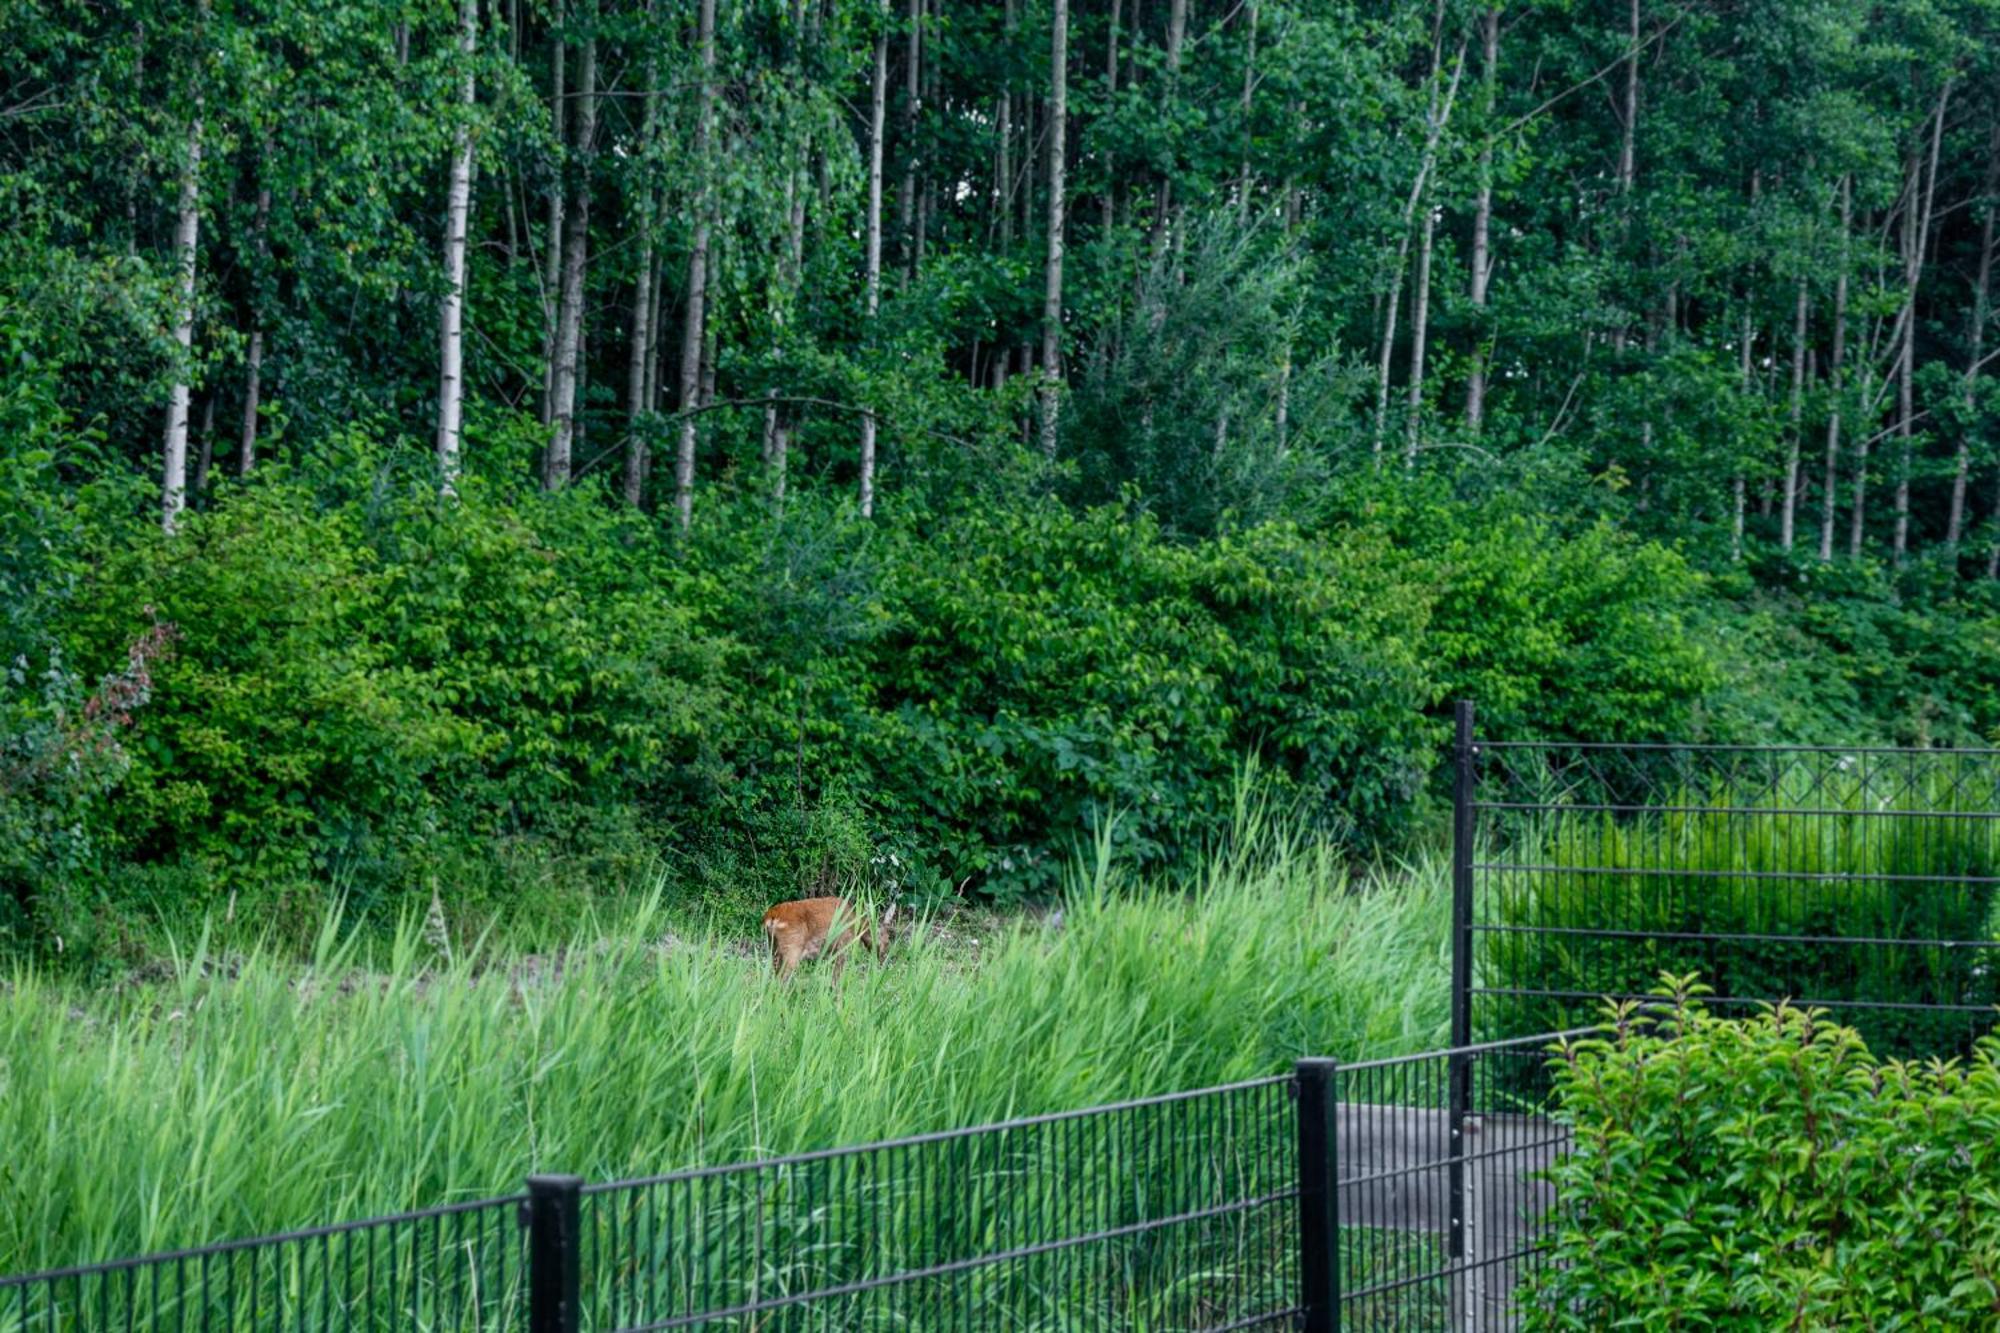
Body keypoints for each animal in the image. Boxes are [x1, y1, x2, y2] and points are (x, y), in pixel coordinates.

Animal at [756, 892, 900, 976]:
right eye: (887, 940)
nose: (884, 959)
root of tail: (769, 917)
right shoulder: (842, 945)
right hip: (791, 948)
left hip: (773, 948)